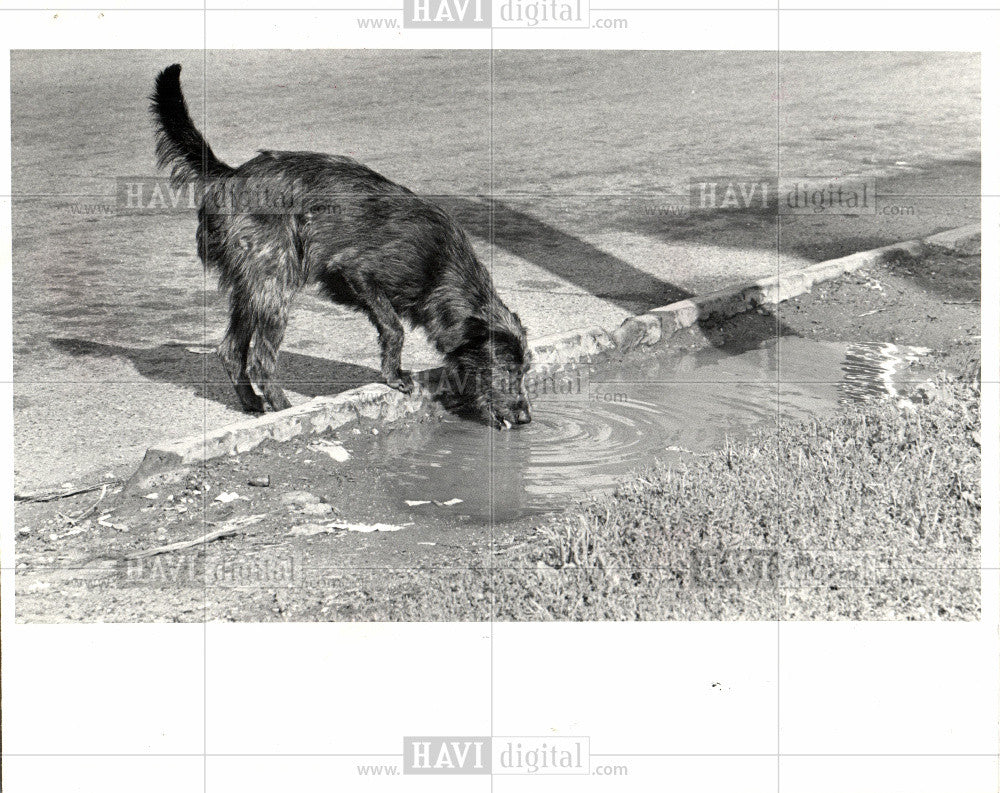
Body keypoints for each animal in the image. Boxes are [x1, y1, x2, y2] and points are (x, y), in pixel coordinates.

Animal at [148, 63, 532, 426]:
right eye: (506, 371)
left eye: (525, 371)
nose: (526, 418)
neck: (441, 267)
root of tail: (230, 175)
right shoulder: (356, 272)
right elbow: (394, 328)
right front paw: (394, 376)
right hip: (276, 286)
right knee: (260, 359)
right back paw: (284, 409)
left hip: (253, 288)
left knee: (231, 351)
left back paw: (253, 403)